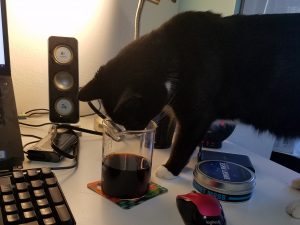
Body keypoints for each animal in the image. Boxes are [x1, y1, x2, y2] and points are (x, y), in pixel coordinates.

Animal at [78, 11, 300, 178]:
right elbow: (178, 135)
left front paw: (169, 169)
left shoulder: (198, 114)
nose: (136, 131)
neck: (172, 53)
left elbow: (183, 141)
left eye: (132, 120)